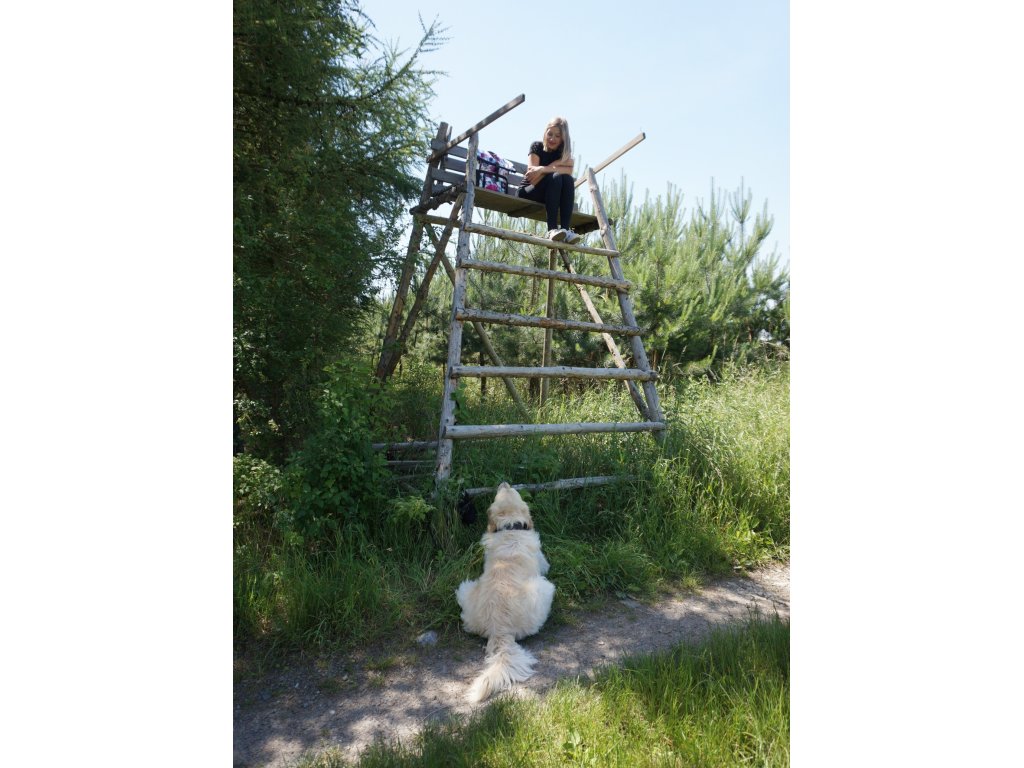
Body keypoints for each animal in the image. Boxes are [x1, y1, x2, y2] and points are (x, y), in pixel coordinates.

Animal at [454, 483, 557, 708]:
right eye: (501, 493)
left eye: (509, 491)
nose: (504, 483)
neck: (511, 528)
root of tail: (499, 629)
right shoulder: (544, 564)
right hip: (545, 587)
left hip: (465, 587)